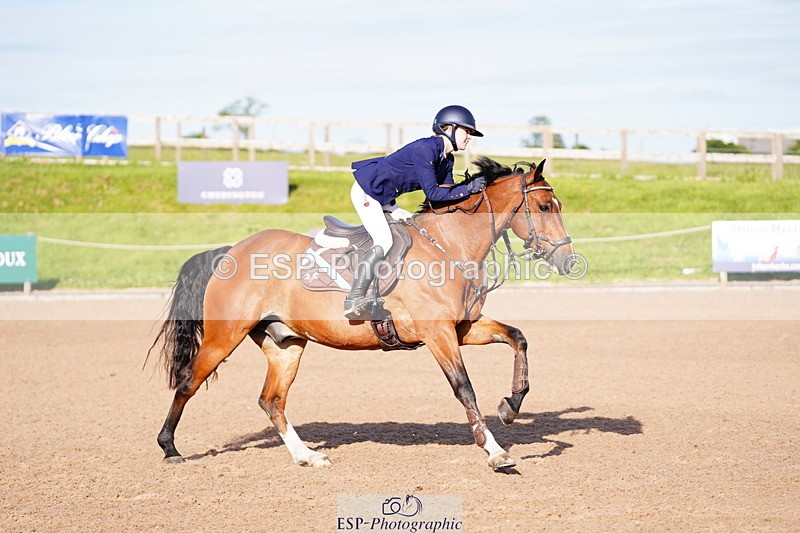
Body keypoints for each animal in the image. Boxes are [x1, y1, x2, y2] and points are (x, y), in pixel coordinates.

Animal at [149, 157, 577, 471]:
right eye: (543, 207)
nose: (569, 262)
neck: (448, 245)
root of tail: (230, 251)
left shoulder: (463, 327)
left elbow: (518, 337)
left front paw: (510, 406)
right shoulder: (438, 332)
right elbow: (464, 388)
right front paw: (495, 451)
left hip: (286, 344)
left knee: (272, 400)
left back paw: (307, 456)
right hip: (225, 335)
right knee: (188, 382)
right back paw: (169, 448)